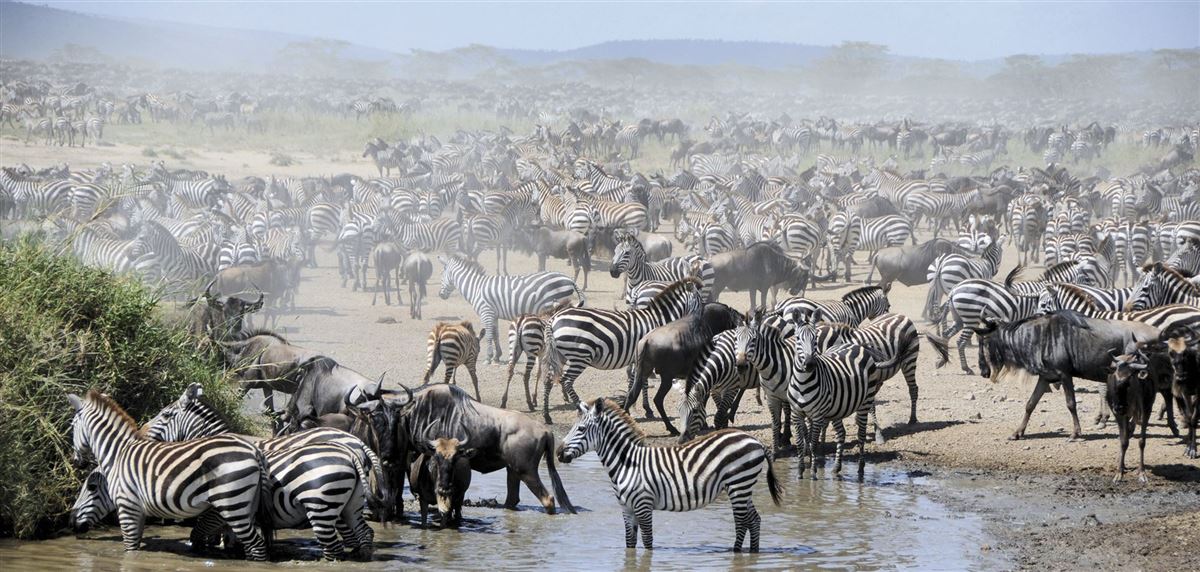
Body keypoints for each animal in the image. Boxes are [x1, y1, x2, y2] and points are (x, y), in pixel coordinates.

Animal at [66, 391, 270, 560]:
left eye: (91, 487)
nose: (71, 521)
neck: (118, 454)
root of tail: (253, 450)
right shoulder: (139, 511)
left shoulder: (127, 507)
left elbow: (130, 551)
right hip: (247, 506)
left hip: (232, 506)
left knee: (257, 546)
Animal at [438, 254, 585, 364]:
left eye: (442, 274)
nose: (440, 295)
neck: (476, 287)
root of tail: (569, 279)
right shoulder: (493, 314)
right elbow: (495, 334)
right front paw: (497, 356)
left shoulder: (486, 312)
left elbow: (488, 335)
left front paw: (488, 358)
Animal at [545, 278, 702, 424]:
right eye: (700, 300)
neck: (657, 320)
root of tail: (554, 318)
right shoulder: (644, 358)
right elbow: (642, 382)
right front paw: (646, 409)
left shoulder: (638, 358)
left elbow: (635, 381)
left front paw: (629, 404)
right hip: (580, 356)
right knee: (566, 381)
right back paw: (581, 409)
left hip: (560, 355)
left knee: (548, 380)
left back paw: (547, 415)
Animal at [557, 398, 782, 552]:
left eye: (581, 429)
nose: (558, 453)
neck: (627, 463)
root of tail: (755, 440)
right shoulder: (627, 509)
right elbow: (629, 544)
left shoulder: (643, 505)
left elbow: (648, 543)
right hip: (743, 487)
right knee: (754, 520)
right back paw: (753, 554)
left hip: (738, 484)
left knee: (742, 523)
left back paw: (736, 553)